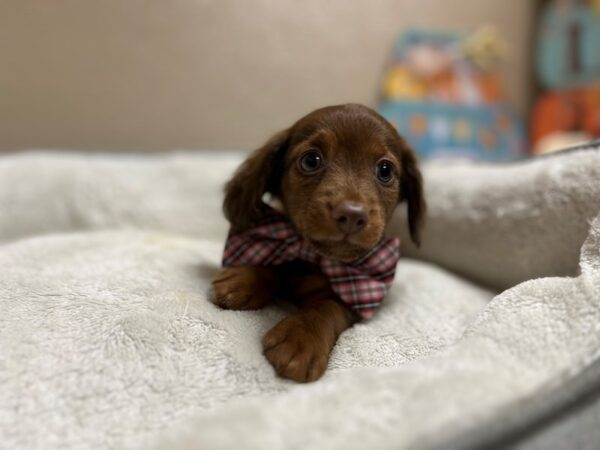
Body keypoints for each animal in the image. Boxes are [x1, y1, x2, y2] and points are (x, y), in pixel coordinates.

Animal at [213, 103, 424, 382]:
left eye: (385, 170)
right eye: (311, 160)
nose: (352, 215)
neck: (312, 258)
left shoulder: (353, 298)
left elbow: (326, 307)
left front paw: (301, 338)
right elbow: (274, 262)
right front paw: (245, 277)